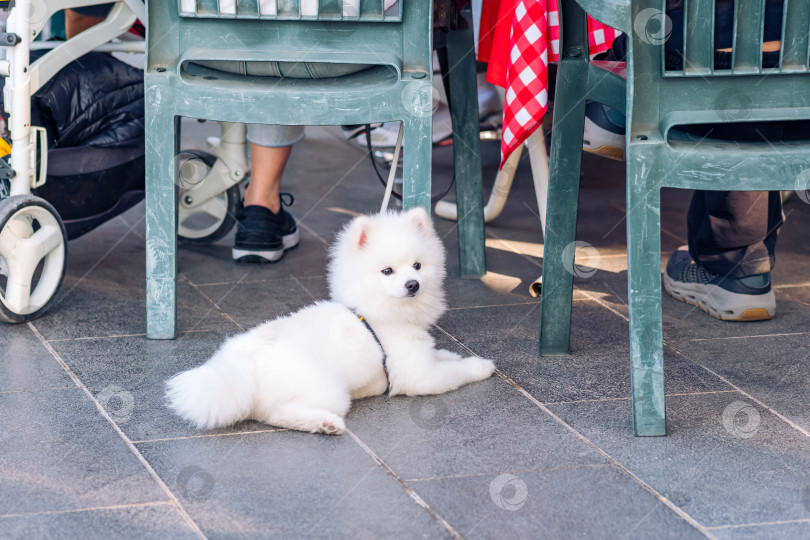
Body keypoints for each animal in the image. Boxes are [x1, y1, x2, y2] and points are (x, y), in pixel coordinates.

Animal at [166, 207, 492, 434]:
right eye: (387, 271)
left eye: (417, 265)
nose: (413, 284)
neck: (374, 311)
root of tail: (238, 373)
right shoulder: (417, 377)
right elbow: (455, 373)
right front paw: (481, 366)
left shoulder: (422, 354)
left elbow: (443, 356)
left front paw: (453, 355)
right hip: (330, 390)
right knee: (280, 414)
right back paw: (325, 424)